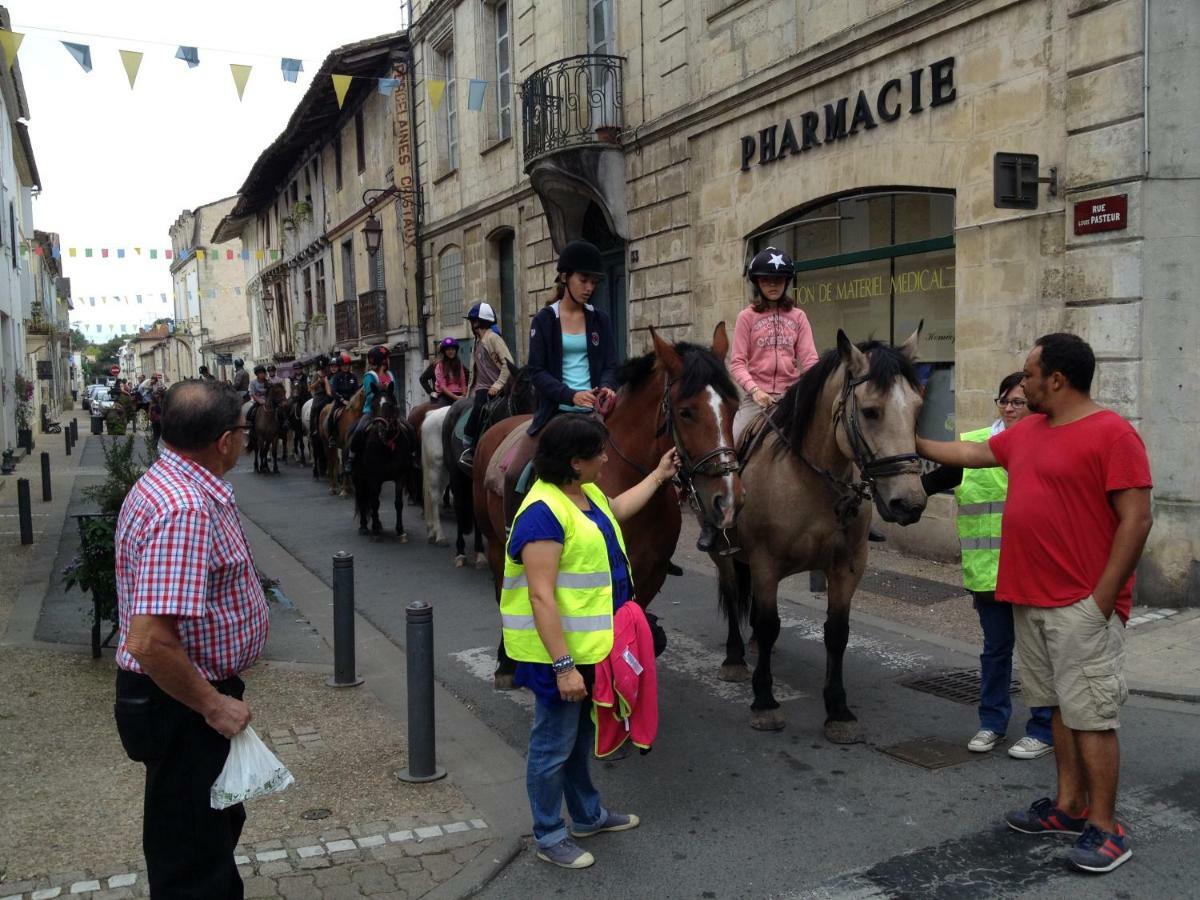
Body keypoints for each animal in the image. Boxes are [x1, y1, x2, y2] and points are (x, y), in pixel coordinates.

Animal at [350, 388, 417, 542]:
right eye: (373, 405)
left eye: (390, 405)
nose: (380, 428)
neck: (386, 445)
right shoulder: (373, 478)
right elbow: (374, 503)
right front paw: (374, 531)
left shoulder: (400, 477)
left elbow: (397, 503)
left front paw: (400, 530)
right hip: (358, 478)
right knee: (362, 498)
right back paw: (364, 526)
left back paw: (378, 524)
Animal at [475, 326, 744, 691]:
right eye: (686, 411)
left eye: (734, 407)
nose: (728, 499)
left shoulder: (647, 575)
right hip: (494, 545)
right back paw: (506, 663)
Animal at [710, 328, 926, 739]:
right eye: (871, 411)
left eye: (918, 409)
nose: (909, 503)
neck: (810, 479)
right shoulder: (765, 564)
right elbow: (769, 623)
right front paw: (765, 701)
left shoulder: (847, 567)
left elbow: (836, 633)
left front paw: (838, 709)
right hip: (724, 553)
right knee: (732, 594)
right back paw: (734, 658)